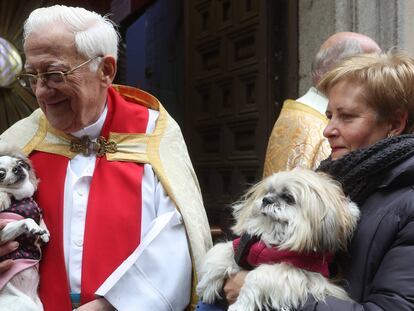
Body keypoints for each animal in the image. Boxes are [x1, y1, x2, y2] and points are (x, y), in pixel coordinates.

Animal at [0, 146, 49, 311]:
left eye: (20, 163)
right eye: (1, 173)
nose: (17, 168)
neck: (20, 197)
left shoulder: (36, 208)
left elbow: (40, 216)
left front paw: (44, 233)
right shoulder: (3, 232)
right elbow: (27, 219)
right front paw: (34, 228)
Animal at [196, 169, 360, 310]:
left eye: (288, 197)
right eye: (268, 192)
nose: (266, 200)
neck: (274, 237)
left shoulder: (301, 274)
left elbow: (257, 277)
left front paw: (240, 305)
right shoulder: (241, 248)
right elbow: (220, 254)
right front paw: (207, 285)